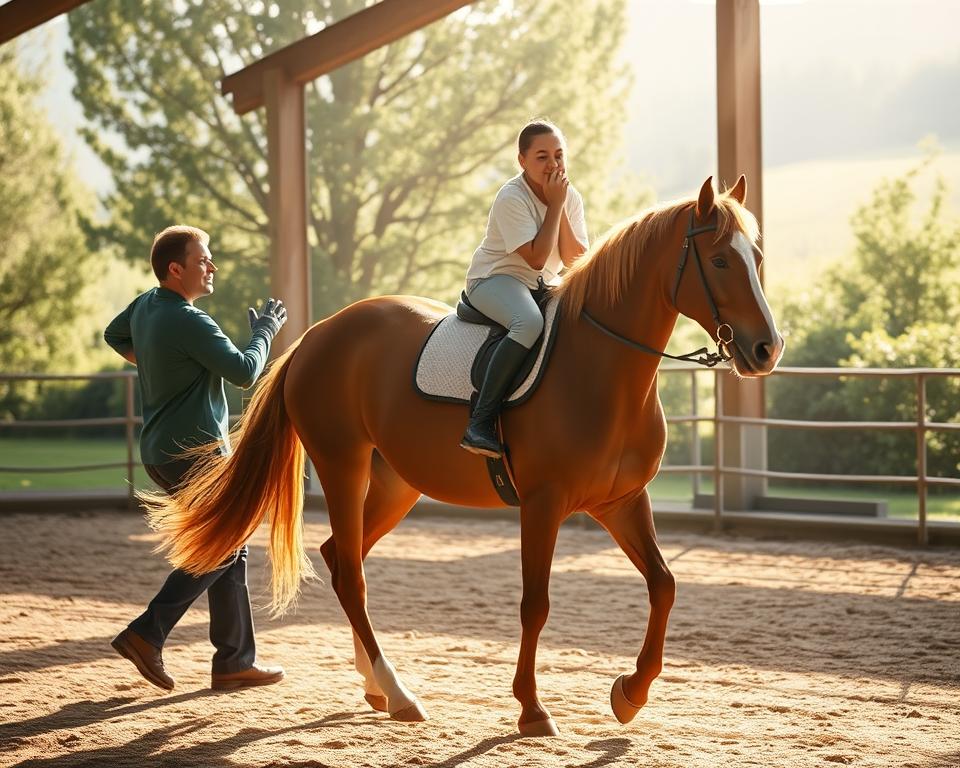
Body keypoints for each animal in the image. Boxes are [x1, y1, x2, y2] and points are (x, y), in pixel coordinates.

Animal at [144, 175, 783, 737]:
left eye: (755, 255)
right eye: (720, 261)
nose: (766, 349)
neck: (601, 368)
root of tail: (317, 334)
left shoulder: (622, 502)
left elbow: (664, 584)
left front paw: (631, 692)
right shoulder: (543, 506)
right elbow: (535, 604)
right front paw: (531, 709)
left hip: (395, 484)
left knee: (342, 559)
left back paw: (376, 687)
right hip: (342, 464)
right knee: (352, 574)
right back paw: (399, 694)